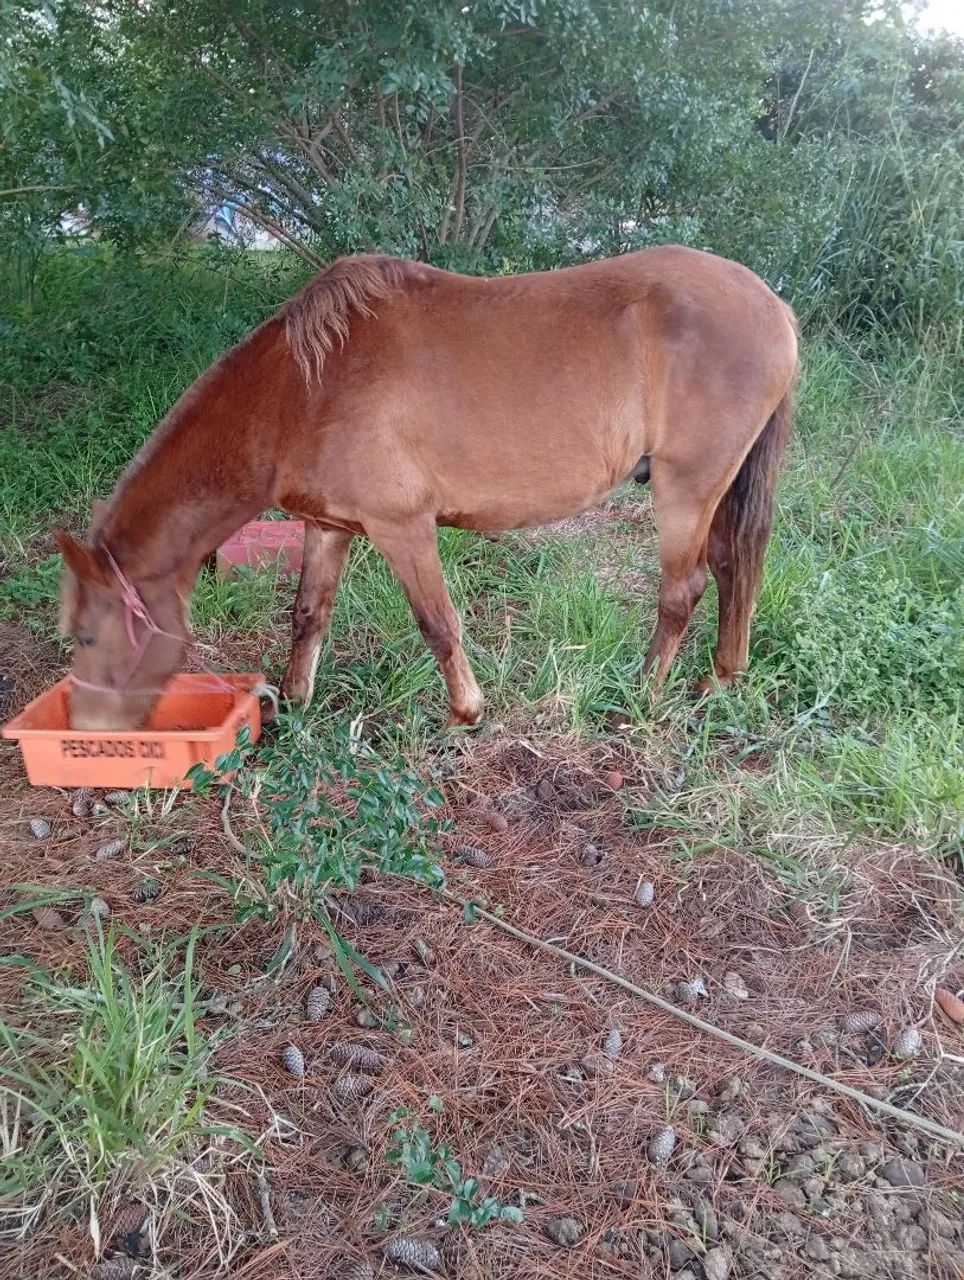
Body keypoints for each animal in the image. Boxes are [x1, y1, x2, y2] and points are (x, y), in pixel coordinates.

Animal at [55, 246, 798, 732]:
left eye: (87, 637)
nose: (89, 731)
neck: (303, 389)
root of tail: (776, 309)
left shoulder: (402, 527)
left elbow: (438, 623)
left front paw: (465, 714)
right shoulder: (328, 527)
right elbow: (309, 614)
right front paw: (294, 702)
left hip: (687, 488)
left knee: (684, 590)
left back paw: (642, 697)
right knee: (733, 569)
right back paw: (718, 679)